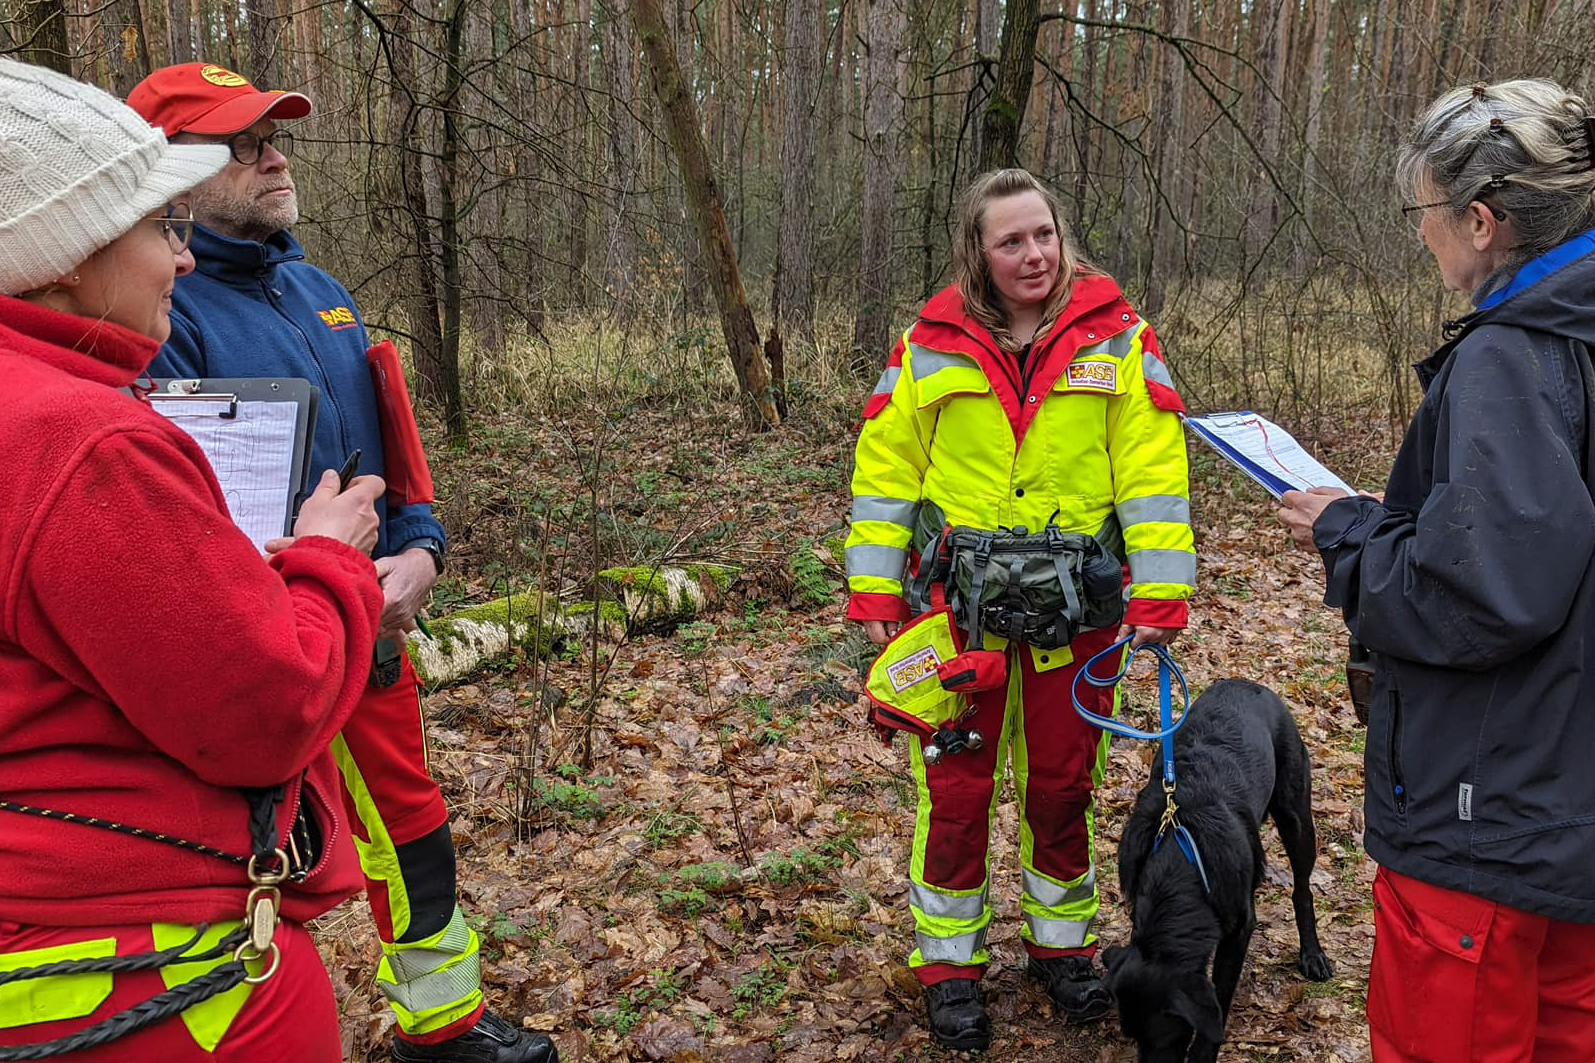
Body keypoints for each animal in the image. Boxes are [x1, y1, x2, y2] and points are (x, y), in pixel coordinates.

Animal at [1097, 679, 1333, 1059]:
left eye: (1166, 1038)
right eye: (1132, 1038)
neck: (1181, 859)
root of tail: (1248, 683)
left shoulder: (1239, 929)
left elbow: (1219, 999)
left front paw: (1204, 1053)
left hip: (1296, 817)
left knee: (1302, 889)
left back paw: (1312, 954)